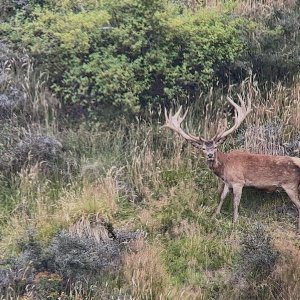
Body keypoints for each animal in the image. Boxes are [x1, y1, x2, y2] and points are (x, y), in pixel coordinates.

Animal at [164, 97, 300, 231]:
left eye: (215, 147)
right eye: (203, 148)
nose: (210, 155)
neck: (224, 167)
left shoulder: (238, 181)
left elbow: (235, 202)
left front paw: (235, 222)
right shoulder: (227, 182)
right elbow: (222, 197)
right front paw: (214, 215)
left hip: (291, 185)